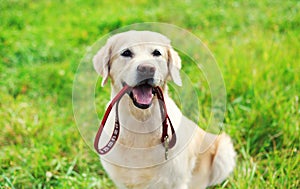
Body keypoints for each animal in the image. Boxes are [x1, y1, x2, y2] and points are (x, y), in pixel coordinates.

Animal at [92, 30, 236, 188]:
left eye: (156, 53)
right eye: (126, 53)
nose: (147, 69)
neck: (140, 121)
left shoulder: (177, 182)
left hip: (224, 151)